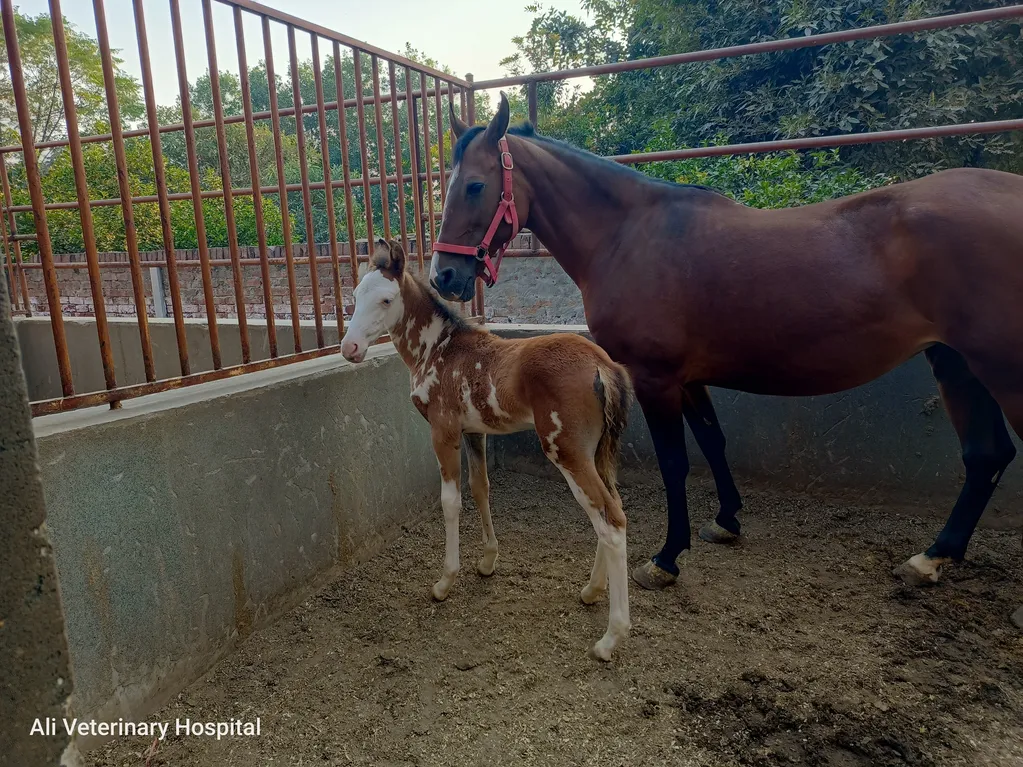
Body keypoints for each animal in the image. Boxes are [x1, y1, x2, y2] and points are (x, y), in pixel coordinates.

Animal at [340, 239, 635, 660]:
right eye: (354, 296)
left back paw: (611, 637)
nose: (349, 348)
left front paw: (444, 582)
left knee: (609, 520)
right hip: (599, 451)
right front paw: (487, 561)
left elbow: (451, 501)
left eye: (385, 299)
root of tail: (605, 367)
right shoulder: (474, 432)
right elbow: (481, 488)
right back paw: (592, 590)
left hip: (567, 450)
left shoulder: (443, 430)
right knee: (613, 507)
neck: (438, 349)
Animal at [430, 92, 1023, 596]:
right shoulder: (689, 379)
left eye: (475, 186)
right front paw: (727, 520)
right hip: (956, 362)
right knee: (987, 455)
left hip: (999, 368)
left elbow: (675, 462)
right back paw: (933, 557)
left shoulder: (656, 378)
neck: (629, 237)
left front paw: (666, 558)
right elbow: (713, 443)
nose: (444, 276)